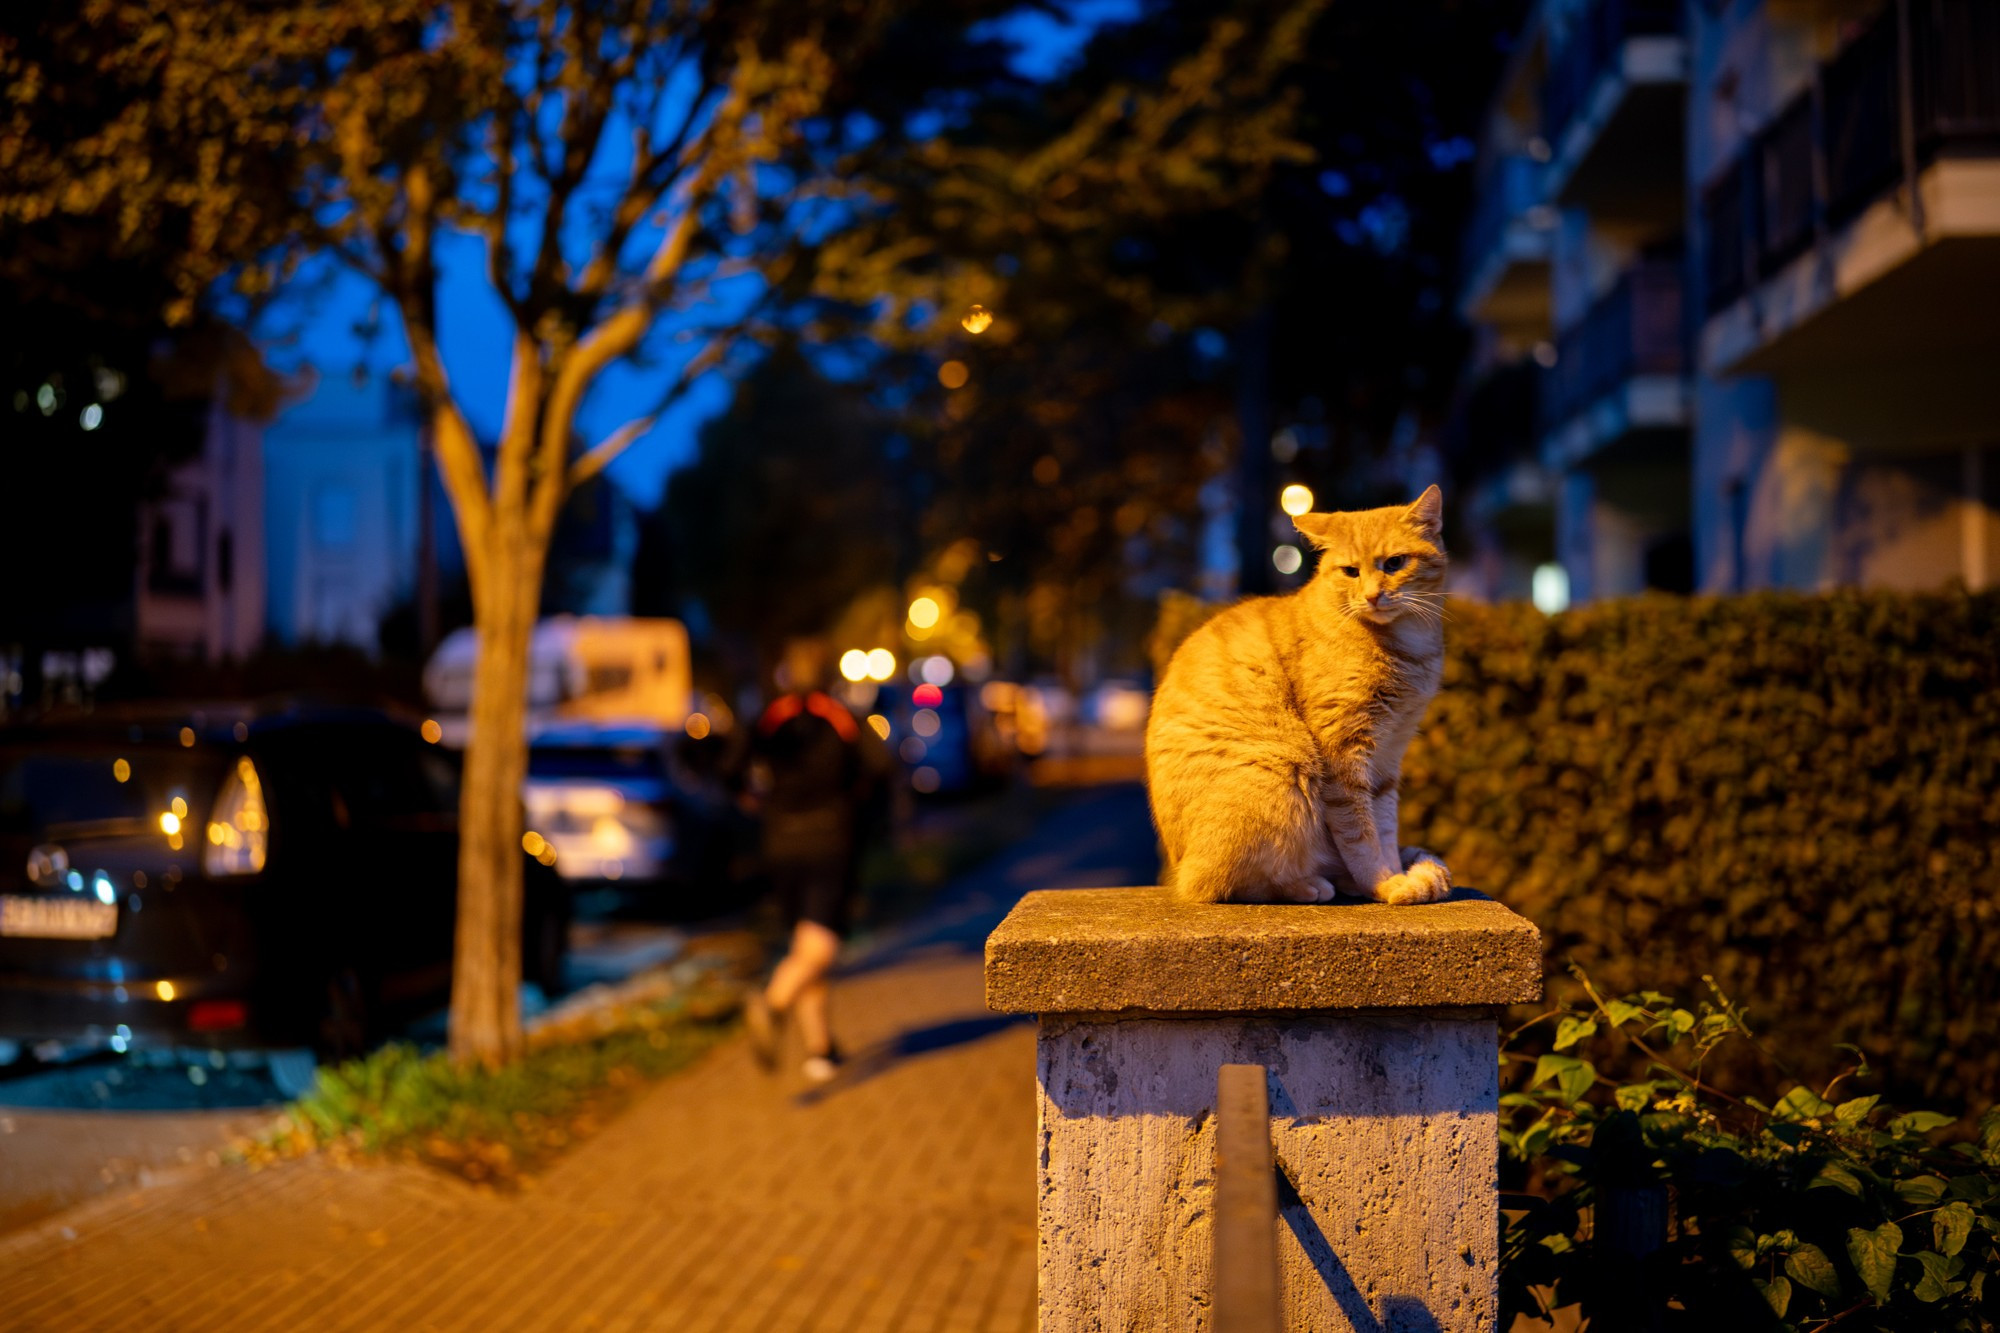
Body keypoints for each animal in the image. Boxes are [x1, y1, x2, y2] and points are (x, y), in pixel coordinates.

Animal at [1144, 486, 1456, 904]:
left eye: (1394, 563)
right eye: (1351, 572)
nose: (1373, 596)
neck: (1408, 646)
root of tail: (1178, 869)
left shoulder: (1389, 755)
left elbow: (1385, 828)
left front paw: (1394, 874)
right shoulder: (1344, 753)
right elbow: (1361, 835)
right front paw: (1382, 882)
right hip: (1284, 769)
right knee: (1224, 884)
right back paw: (1309, 884)